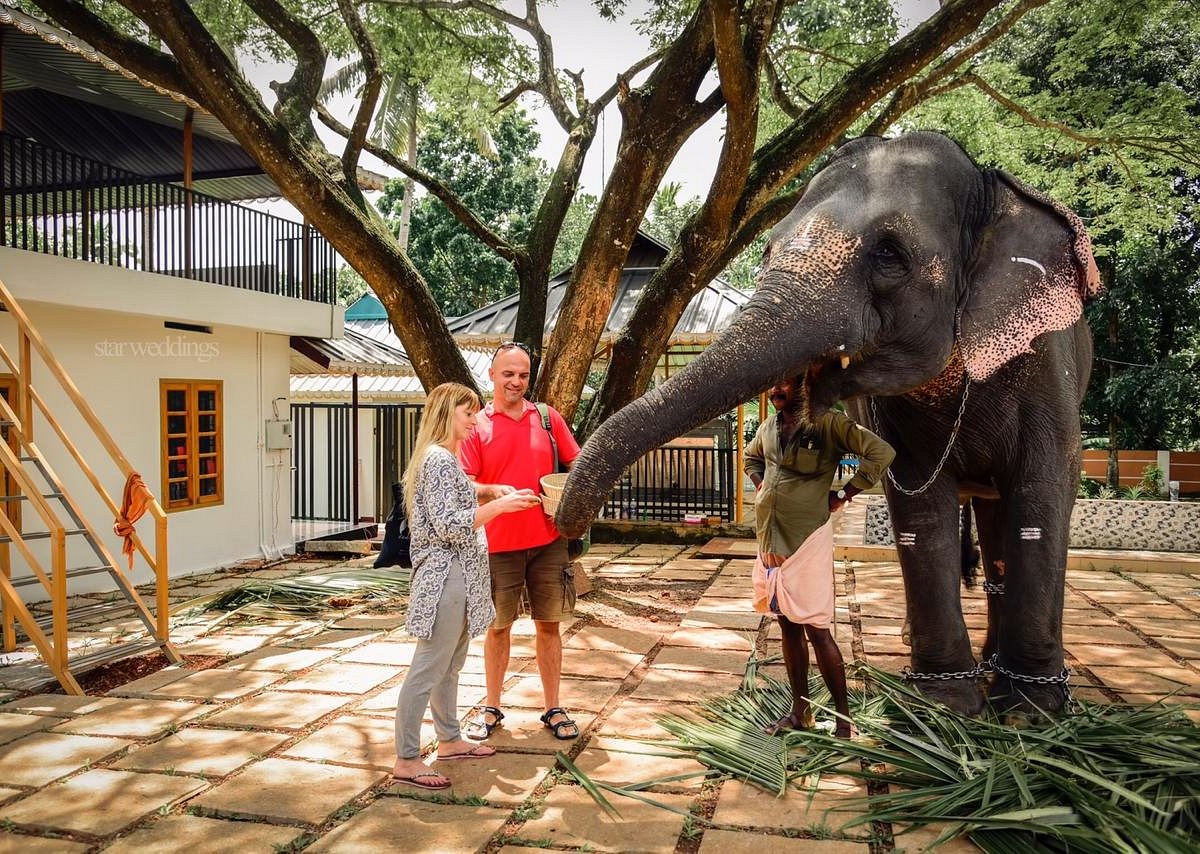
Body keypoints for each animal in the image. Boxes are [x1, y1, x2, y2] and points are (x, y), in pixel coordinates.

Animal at [557, 131, 1101, 717]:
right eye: (768, 250)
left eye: (889, 254)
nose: (568, 531)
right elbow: (919, 501)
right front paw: (944, 707)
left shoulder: (1047, 360)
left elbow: (1043, 492)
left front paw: (1030, 713)